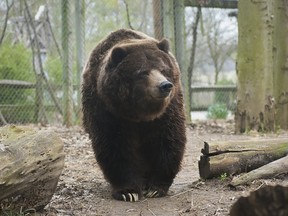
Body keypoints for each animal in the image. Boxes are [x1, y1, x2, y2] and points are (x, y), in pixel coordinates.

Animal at [81, 27, 187, 202]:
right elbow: (115, 145)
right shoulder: (107, 110)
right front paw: (128, 191)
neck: (139, 113)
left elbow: (167, 139)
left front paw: (155, 187)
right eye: (143, 72)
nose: (164, 85)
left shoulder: (167, 111)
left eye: (163, 69)